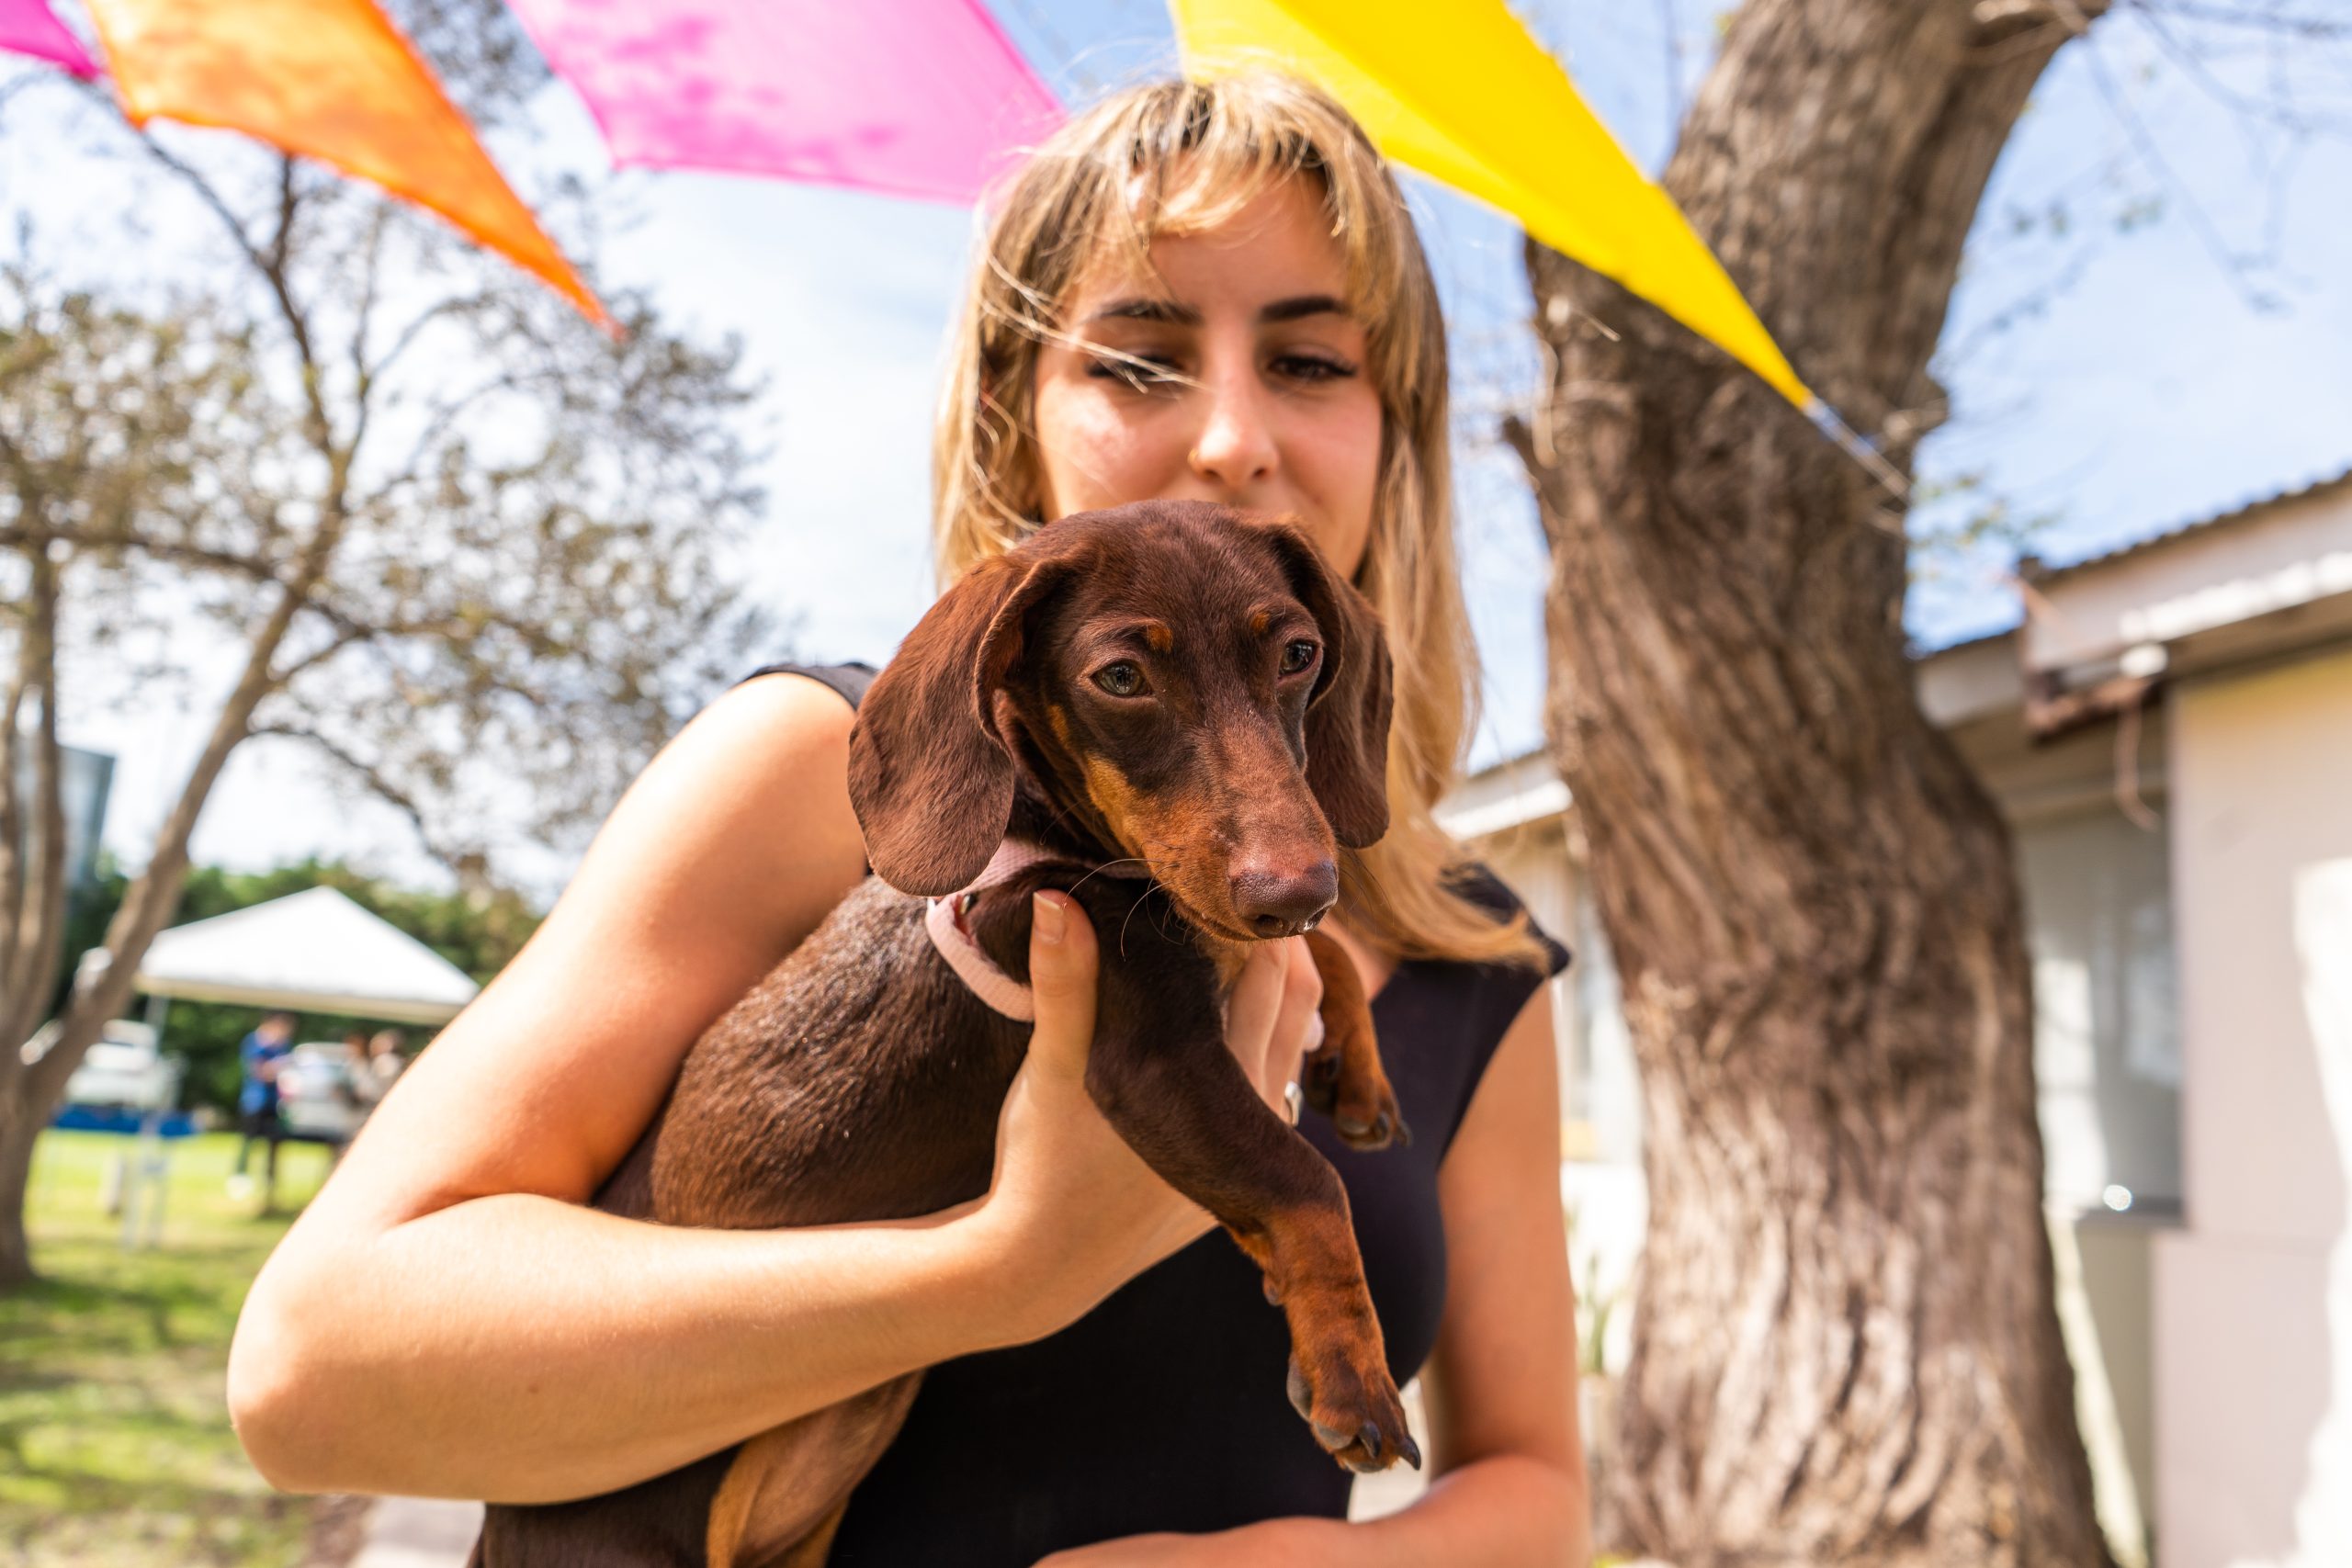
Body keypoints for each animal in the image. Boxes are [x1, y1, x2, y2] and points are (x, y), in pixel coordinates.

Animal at [473, 499, 1415, 1568]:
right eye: (1120, 678)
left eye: (1300, 653)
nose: (1296, 891)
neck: (1050, 838)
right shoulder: (1154, 1060)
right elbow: (1304, 1177)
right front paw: (1352, 1372)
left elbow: (1327, 959)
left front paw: (1361, 1072)